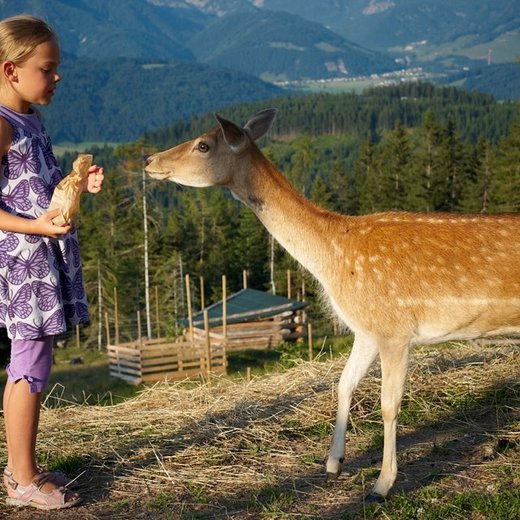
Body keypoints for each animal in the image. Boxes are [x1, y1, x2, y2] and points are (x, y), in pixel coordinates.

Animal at [144, 108, 520, 500]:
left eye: (203, 144)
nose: (149, 160)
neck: (333, 260)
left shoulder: (394, 329)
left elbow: (389, 404)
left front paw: (381, 484)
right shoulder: (366, 330)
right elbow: (343, 383)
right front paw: (333, 463)